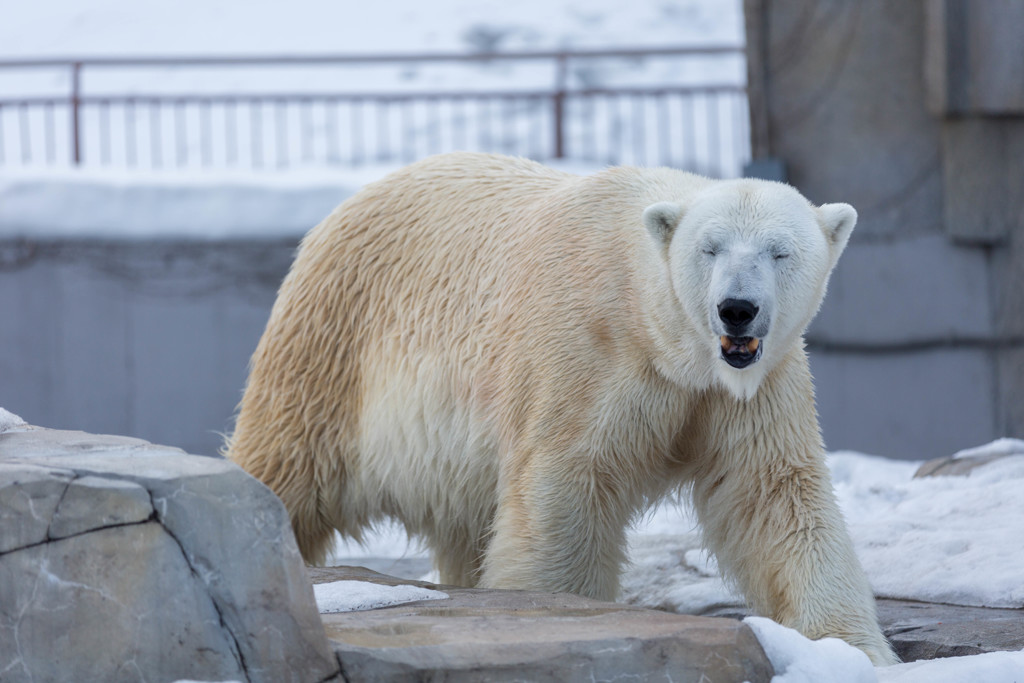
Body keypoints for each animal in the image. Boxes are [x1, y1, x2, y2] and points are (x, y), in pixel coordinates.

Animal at [230, 152, 897, 663]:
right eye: (710, 249)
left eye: (780, 252)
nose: (737, 308)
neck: (659, 329)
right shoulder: (583, 358)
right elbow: (566, 491)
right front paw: (558, 610)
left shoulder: (748, 389)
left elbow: (777, 496)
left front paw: (853, 650)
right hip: (333, 347)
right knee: (287, 461)